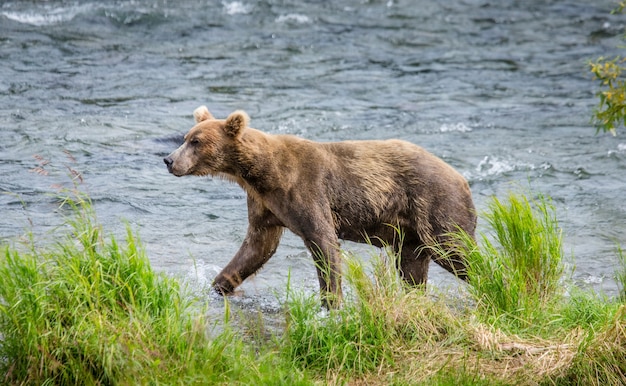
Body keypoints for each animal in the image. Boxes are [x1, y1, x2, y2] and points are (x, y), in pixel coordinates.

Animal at [163, 106, 476, 308]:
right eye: (186, 137)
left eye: (196, 141)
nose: (169, 160)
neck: (261, 173)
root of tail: (462, 178)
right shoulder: (266, 205)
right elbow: (255, 248)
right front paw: (219, 285)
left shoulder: (305, 190)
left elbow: (323, 243)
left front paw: (330, 305)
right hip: (409, 232)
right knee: (412, 268)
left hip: (436, 206)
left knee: (456, 251)